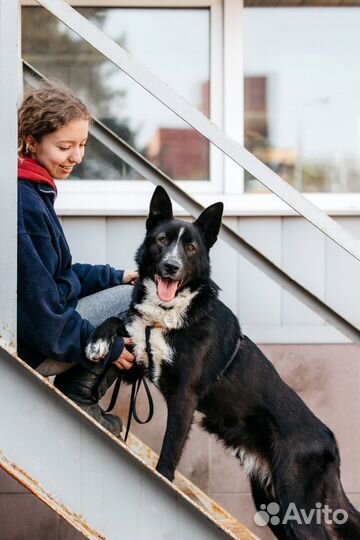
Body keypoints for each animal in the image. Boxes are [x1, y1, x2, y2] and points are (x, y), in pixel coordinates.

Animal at [86, 187, 360, 540]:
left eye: (190, 247)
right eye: (161, 240)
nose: (171, 266)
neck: (169, 314)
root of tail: (331, 444)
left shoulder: (184, 397)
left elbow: (168, 455)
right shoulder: (139, 363)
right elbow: (116, 323)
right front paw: (97, 341)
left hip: (295, 502)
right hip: (272, 504)